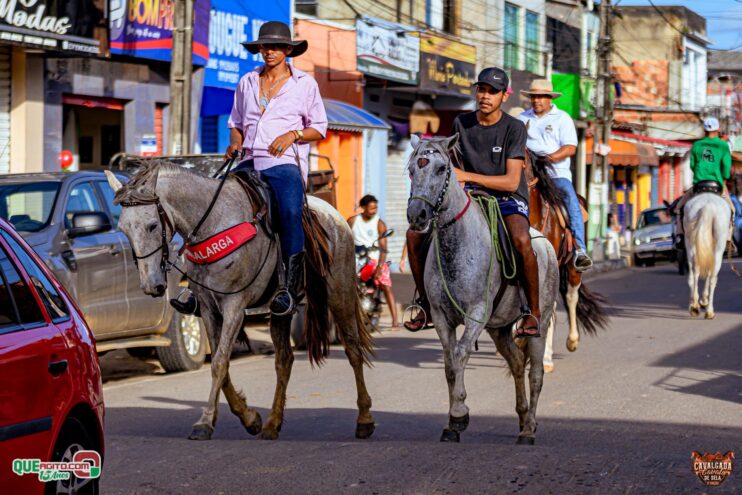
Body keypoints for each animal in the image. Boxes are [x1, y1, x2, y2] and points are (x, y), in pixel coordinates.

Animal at [104, 163, 376, 441]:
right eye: (124, 229)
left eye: (151, 226)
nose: (151, 285)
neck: (212, 224)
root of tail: (335, 215)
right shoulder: (208, 308)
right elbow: (220, 364)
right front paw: (250, 418)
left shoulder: (234, 306)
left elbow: (219, 362)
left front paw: (204, 423)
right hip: (280, 310)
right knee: (284, 360)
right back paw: (272, 424)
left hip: (339, 291)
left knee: (353, 348)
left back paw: (364, 419)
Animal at [406, 135, 560, 445]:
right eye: (411, 170)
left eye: (441, 169)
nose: (417, 215)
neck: (457, 242)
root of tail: (545, 241)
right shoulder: (440, 316)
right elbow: (449, 362)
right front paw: (452, 423)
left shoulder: (476, 313)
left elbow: (461, 353)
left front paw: (459, 414)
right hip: (499, 328)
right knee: (516, 362)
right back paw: (522, 417)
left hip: (541, 320)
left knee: (536, 373)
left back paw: (529, 428)